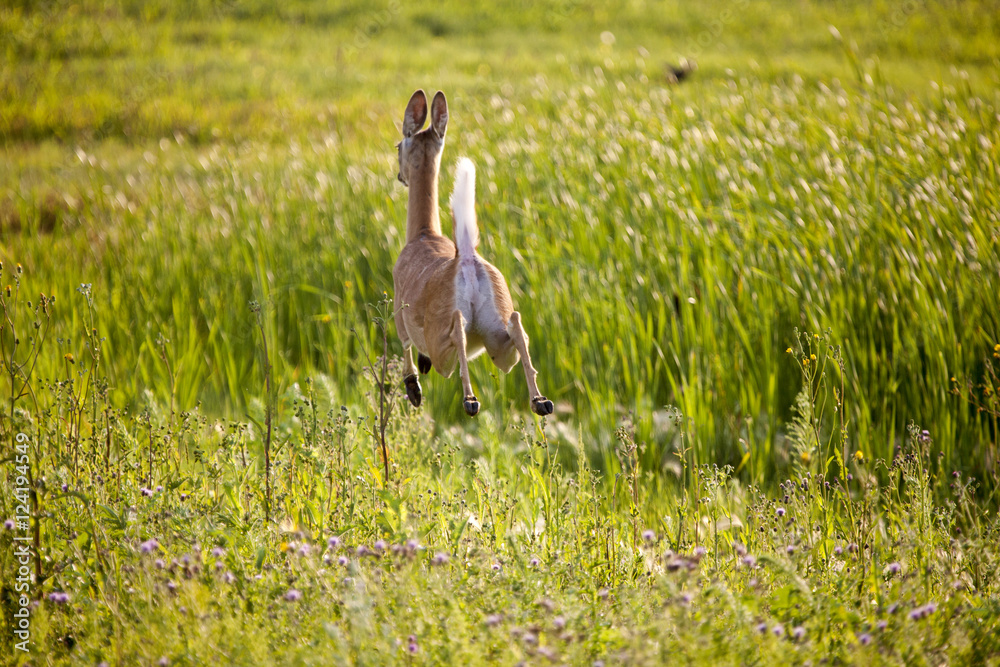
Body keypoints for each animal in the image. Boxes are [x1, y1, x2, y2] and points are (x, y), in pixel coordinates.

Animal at [392, 89, 554, 418]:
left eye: (398, 146)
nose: (400, 176)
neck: (423, 234)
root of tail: (466, 257)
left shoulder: (398, 309)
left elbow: (405, 346)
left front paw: (413, 388)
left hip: (442, 342)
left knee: (455, 336)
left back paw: (470, 399)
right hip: (496, 334)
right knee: (516, 327)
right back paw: (540, 400)